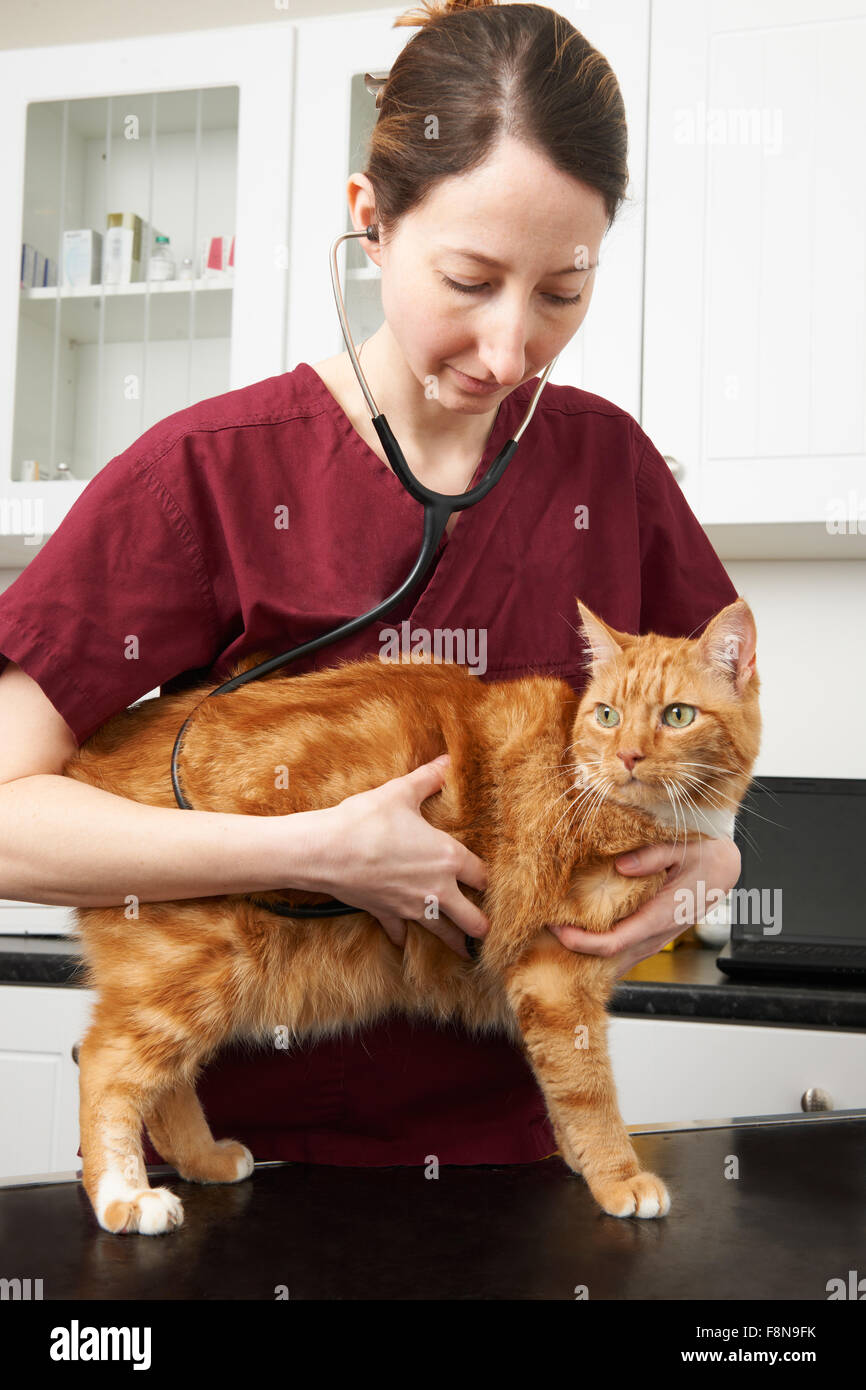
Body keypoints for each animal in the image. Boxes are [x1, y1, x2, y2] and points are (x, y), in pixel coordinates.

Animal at [67, 600, 756, 1239]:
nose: (629, 757)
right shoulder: (556, 976)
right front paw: (618, 1177)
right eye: (607, 715)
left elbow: (562, 1087)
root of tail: (93, 761)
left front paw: (579, 1160)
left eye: (678, 716)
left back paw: (204, 1159)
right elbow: (589, 1091)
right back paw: (124, 1198)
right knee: (103, 1063)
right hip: (202, 967)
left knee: (163, 1084)